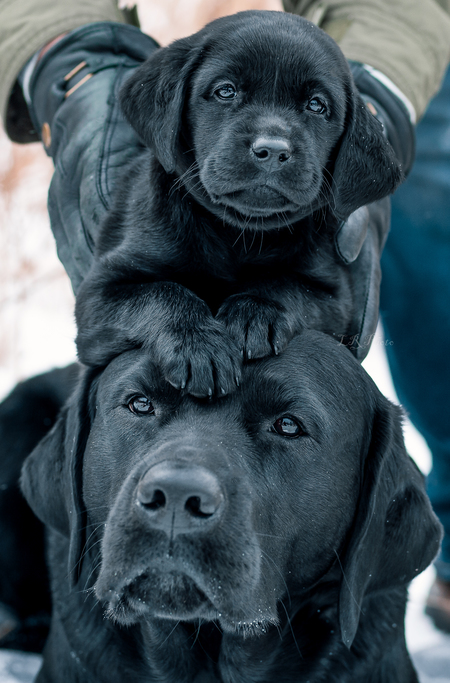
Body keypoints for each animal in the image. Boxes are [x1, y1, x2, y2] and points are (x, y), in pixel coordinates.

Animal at [71, 12, 404, 396]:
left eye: (317, 105)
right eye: (225, 91)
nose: (272, 150)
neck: (238, 234)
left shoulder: (336, 301)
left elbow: (287, 286)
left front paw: (253, 315)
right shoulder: (98, 295)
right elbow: (161, 293)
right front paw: (200, 346)